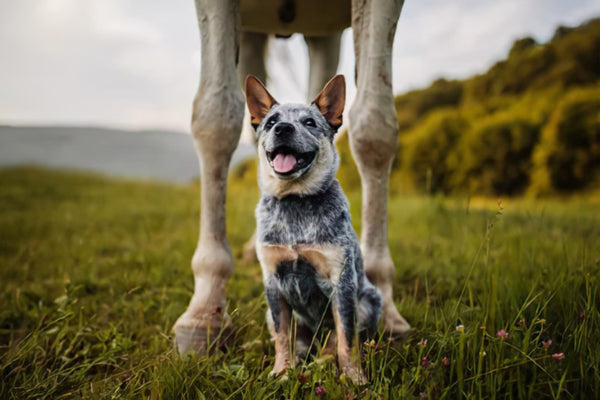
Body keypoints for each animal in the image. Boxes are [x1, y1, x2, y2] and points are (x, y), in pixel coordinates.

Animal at [245, 73, 382, 382]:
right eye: (271, 121)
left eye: (309, 122)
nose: (283, 128)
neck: (295, 202)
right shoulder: (273, 283)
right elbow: (282, 334)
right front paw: (282, 371)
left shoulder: (342, 282)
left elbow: (347, 337)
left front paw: (354, 377)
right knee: (289, 337)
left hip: (370, 299)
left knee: (338, 337)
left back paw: (324, 359)